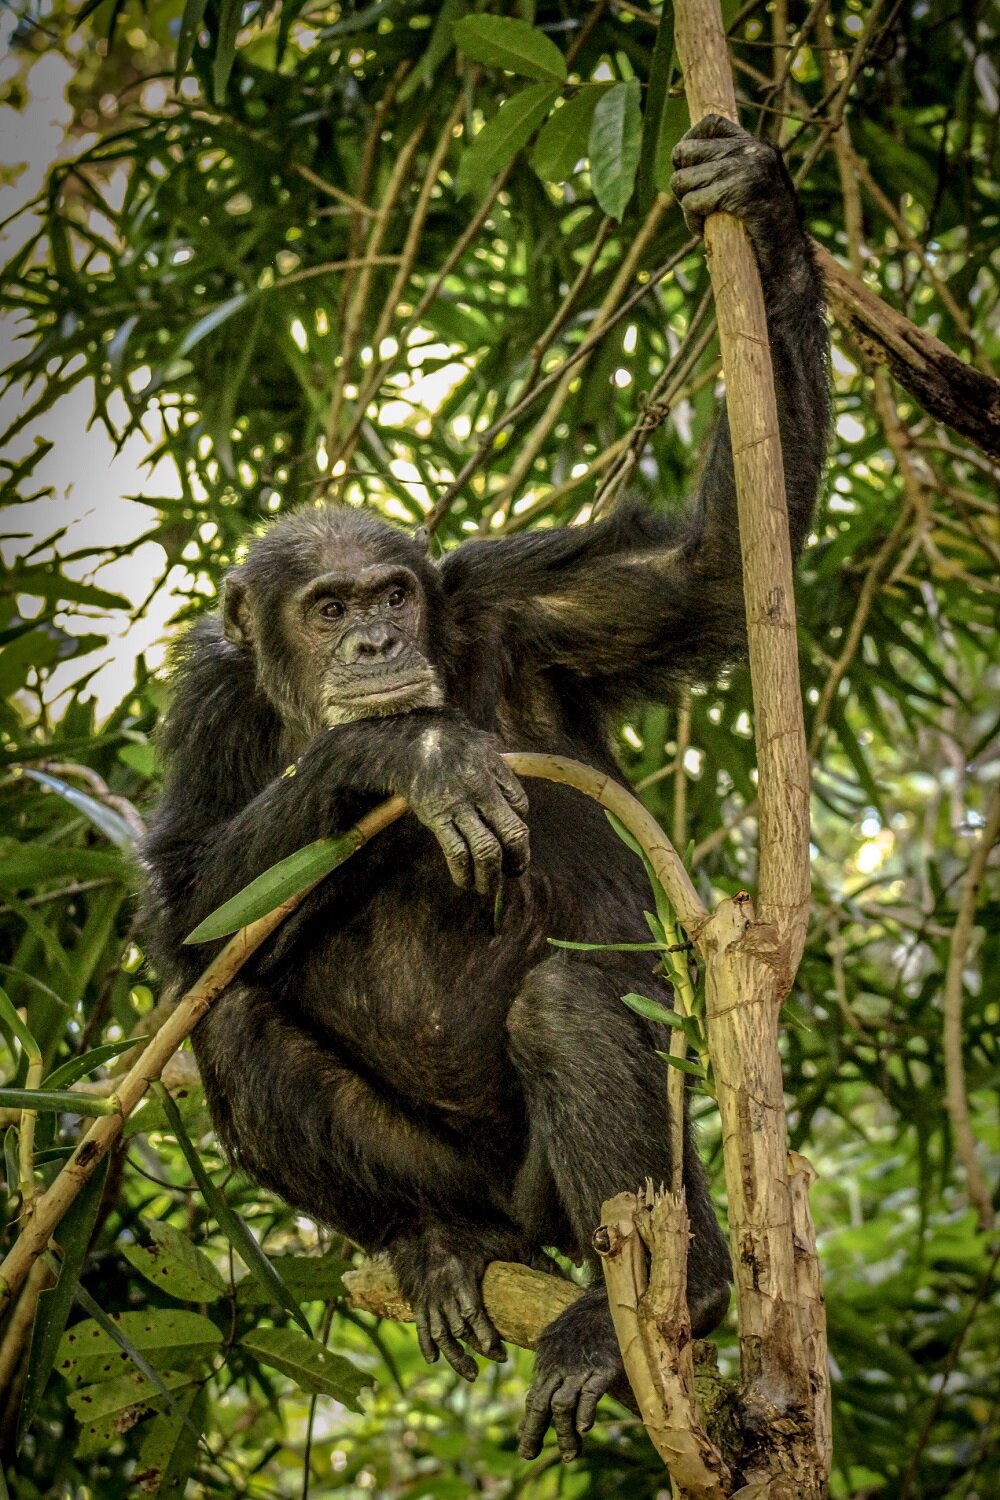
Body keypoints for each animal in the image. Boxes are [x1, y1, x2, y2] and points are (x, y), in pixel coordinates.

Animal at [142, 120, 827, 1464]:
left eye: (393, 594)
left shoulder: (519, 600)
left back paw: (657, 1302)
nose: (373, 643)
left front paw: (763, 205)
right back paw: (439, 1246)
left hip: (616, 1196)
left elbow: (711, 571)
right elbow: (184, 912)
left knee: (567, 1008)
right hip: (469, 1188)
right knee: (235, 1025)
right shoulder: (206, 705)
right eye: (328, 608)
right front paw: (408, 758)